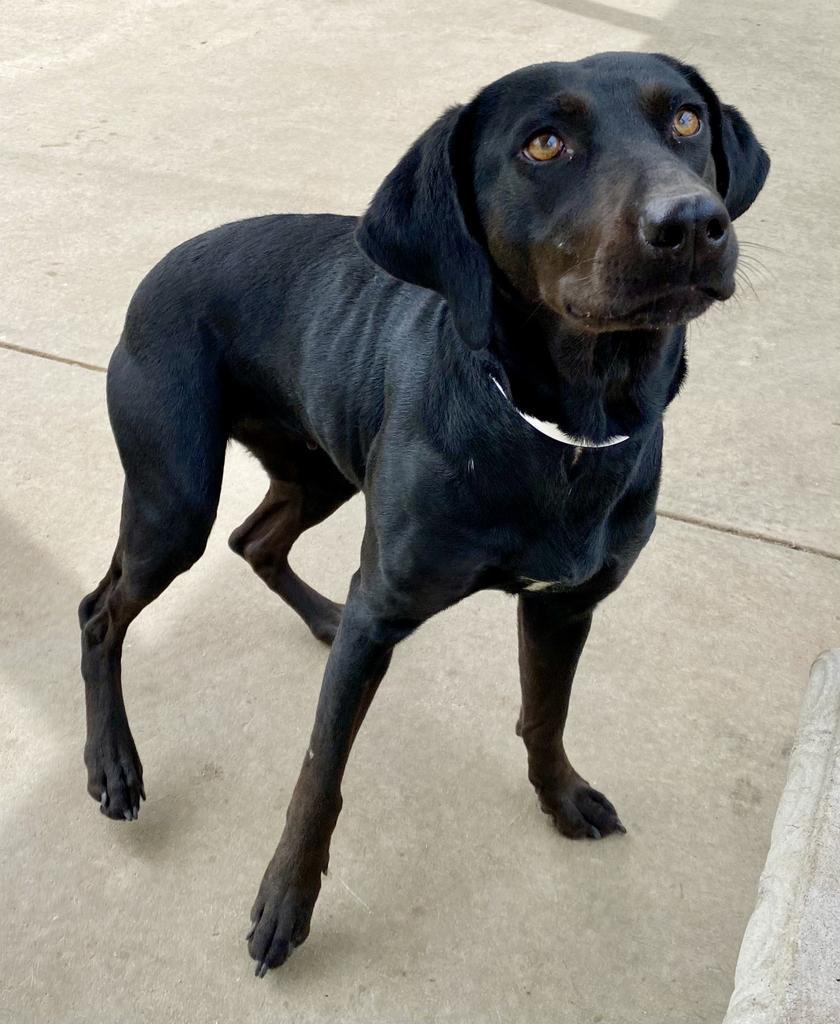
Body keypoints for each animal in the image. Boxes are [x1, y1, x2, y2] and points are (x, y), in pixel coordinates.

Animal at [78, 54, 766, 974]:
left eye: (687, 120)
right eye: (544, 143)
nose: (692, 222)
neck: (564, 430)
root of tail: (158, 267)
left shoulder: (565, 606)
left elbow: (546, 716)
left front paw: (561, 798)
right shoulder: (390, 602)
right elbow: (319, 774)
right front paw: (285, 901)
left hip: (321, 471)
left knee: (256, 540)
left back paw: (324, 619)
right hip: (173, 500)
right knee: (101, 611)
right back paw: (114, 765)